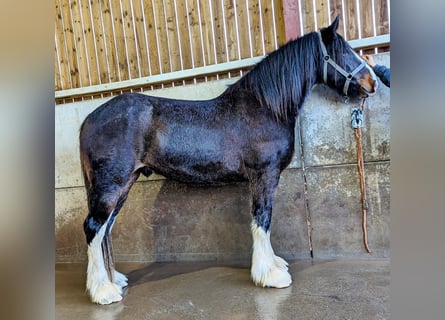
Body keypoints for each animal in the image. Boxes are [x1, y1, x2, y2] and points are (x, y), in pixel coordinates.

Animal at [79, 15, 374, 304]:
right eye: (343, 51)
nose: (372, 82)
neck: (265, 107)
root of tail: (90, 119)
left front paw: (273, 265)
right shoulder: (264, 174)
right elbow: (262, 219)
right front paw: (270, 275)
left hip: (124, 183)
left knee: (105, 229)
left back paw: (114, 280)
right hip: (112, 184)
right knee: (94, 227)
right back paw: (103, 292)